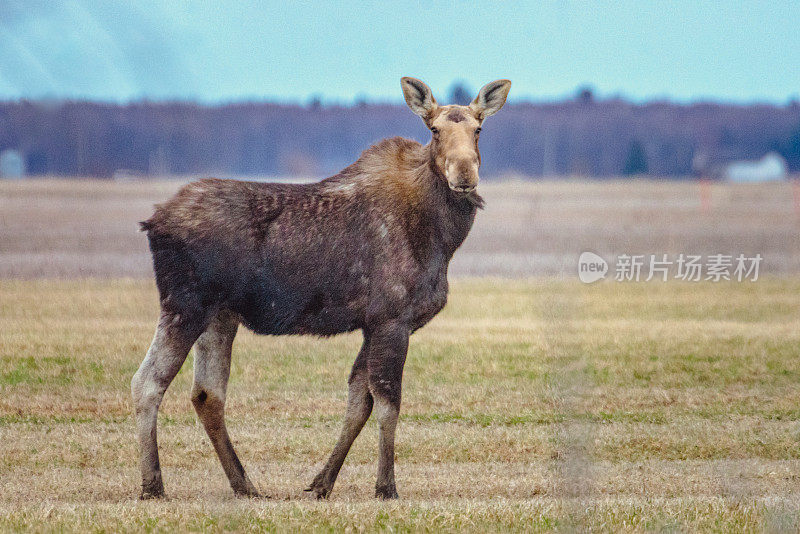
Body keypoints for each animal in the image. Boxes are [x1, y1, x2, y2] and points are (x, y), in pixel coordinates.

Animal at [128, 77, 510, 500]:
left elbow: (359, 403)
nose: (464, 173)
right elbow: (388, 404)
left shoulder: (372, 324)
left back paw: (245, 484)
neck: (443, 238)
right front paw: (386, 486)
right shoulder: (392, 319)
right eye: (435, 130)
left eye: (479, 129)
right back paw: (153, 485)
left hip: (219, 316)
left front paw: (320, 484)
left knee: (207, 395)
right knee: (147, 383)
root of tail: (153, 223)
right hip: (185, 305)